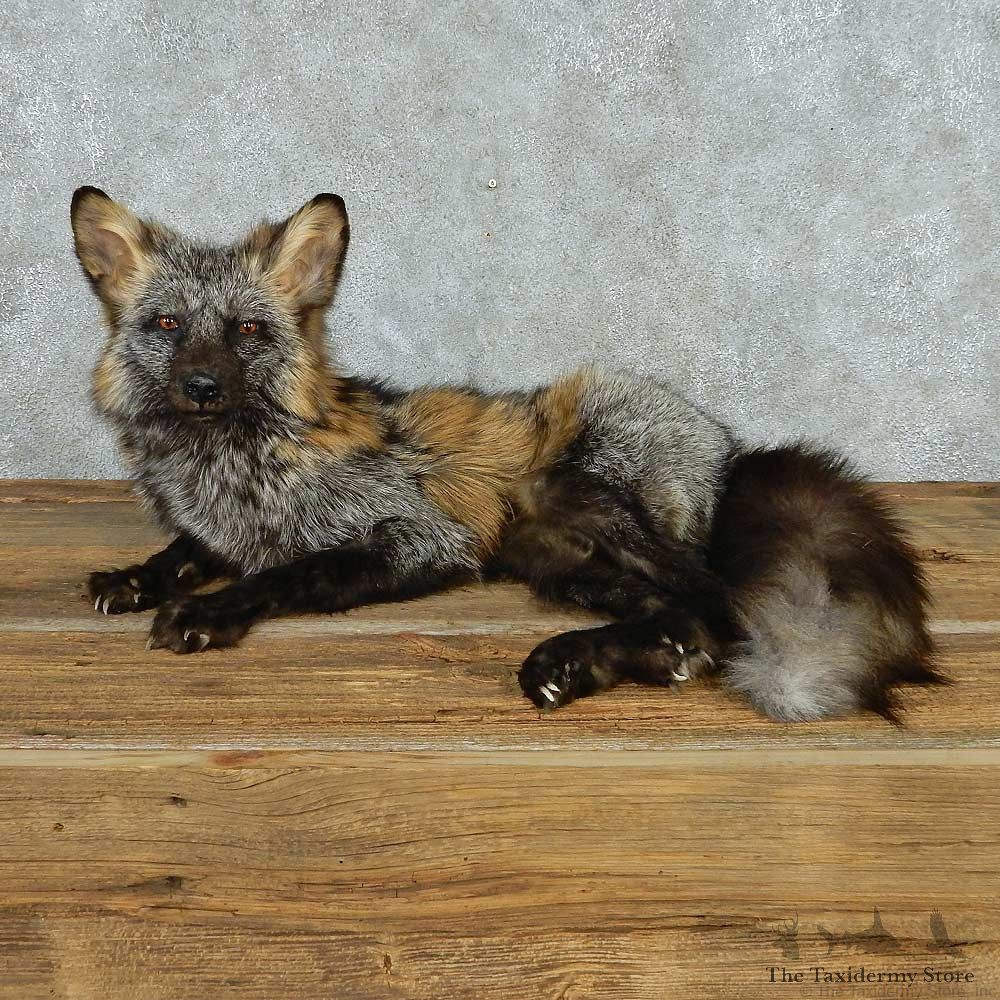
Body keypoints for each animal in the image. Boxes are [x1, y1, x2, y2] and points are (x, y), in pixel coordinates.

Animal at [69, 186, 942, 721]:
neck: (237, 471)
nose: (203, 386)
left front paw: (210, 611)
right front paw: (136, 577)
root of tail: (729, 445)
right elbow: (185, 550)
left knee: (717, 604)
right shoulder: (217, 527)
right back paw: (617, 660)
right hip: (562, 565)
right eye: (169, 326)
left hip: (586, 494)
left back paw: (583, 658)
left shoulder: (423, 539)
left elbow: (290, 573)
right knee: (683, 615)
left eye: (246, 330)